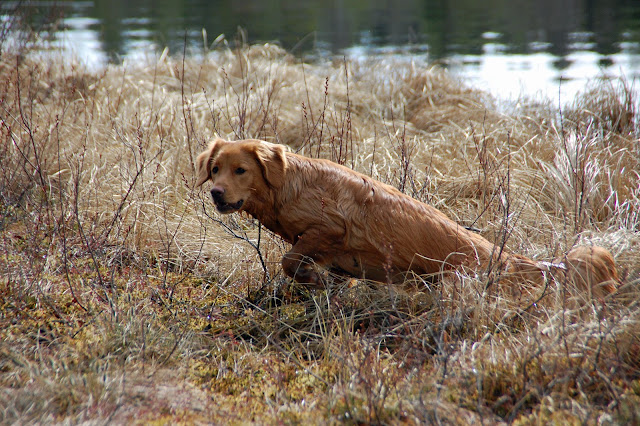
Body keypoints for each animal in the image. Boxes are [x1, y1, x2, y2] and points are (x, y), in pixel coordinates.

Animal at [196, 138, 619, 298]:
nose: (216, 192)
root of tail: (507, 258)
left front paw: (312, 279)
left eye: (240, 170)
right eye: (215, 169)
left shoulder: (330, 228)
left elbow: (292, 259)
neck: (289, 185)